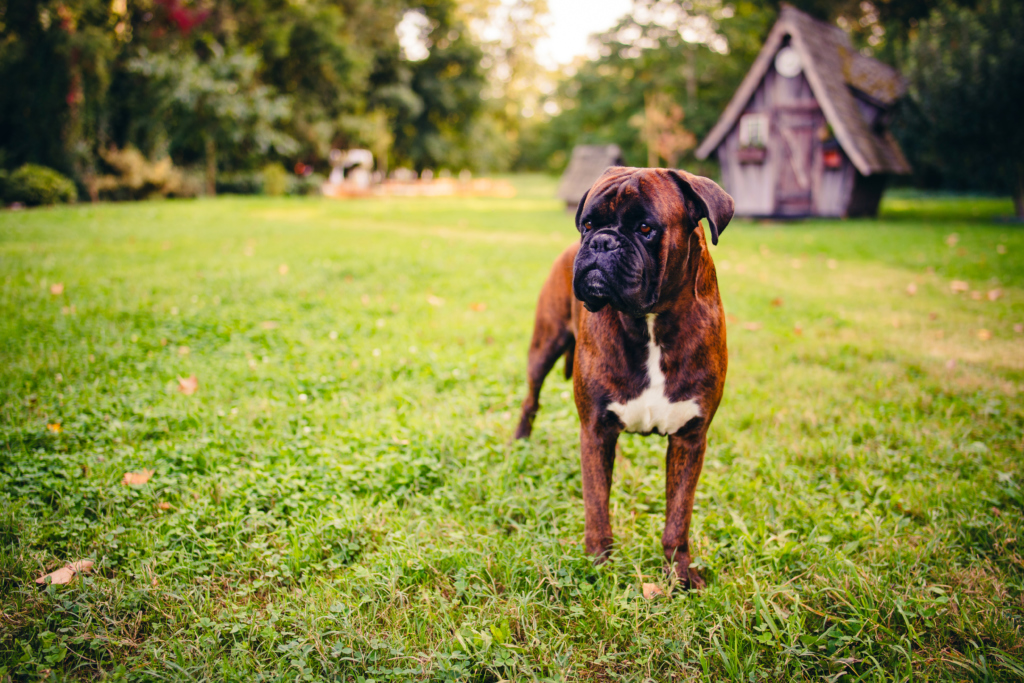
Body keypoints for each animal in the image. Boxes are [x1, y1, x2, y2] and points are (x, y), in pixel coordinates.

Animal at [516, 165, 733, 589]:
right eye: (587, 224)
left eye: (646, 228)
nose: (601, 242)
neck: (649, 324)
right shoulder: (596, 431)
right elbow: (597, 507)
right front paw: (598, 564)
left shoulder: (689, 439)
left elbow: (678, 517)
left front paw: (680, 573)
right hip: (543, 347)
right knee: (530, 399)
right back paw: (520, 442)